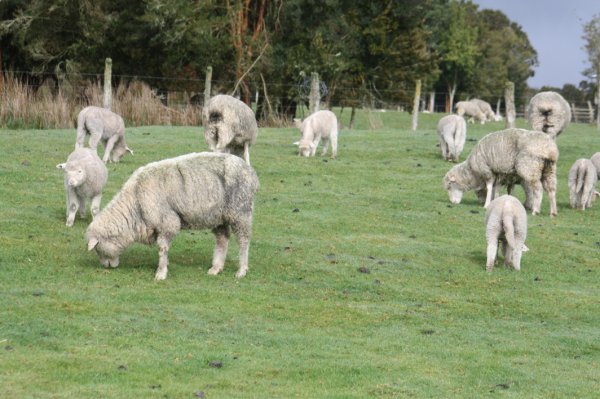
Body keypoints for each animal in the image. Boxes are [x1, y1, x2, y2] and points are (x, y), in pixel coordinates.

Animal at [85, 152, 258, 282]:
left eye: (97, 249)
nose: (106, 267)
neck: (135, 203)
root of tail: (251, 172)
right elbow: (164, 248)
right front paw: (165, 265)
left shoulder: (167, 222)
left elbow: (162, 247)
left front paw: (161, 273)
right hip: (218, 216)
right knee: (222, 239)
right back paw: (216, 268)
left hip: (240, 211)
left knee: (243, 241)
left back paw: (241, 270)